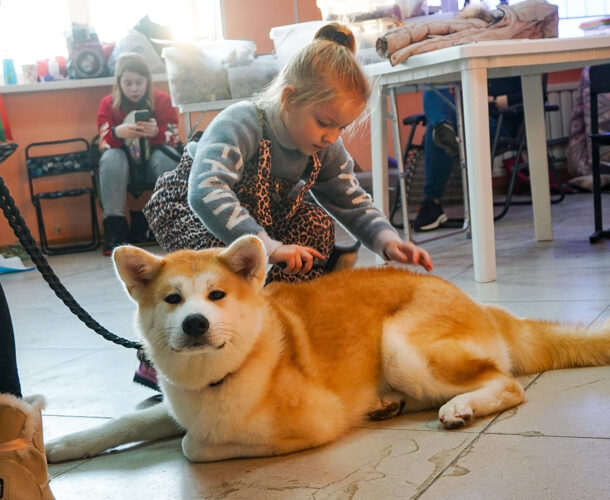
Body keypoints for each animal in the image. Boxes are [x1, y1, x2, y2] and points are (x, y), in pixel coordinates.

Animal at [44, 236, 608, 462]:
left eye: (217, 295)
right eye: (173, 299)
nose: (196, 323)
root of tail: (479, 303)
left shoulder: (312, 423)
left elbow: (192, 446)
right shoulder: (177, 403)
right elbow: (128, 423)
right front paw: (60, 447)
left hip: (400, 346)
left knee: (507, 382)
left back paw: (460, 405)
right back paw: (386, 404)